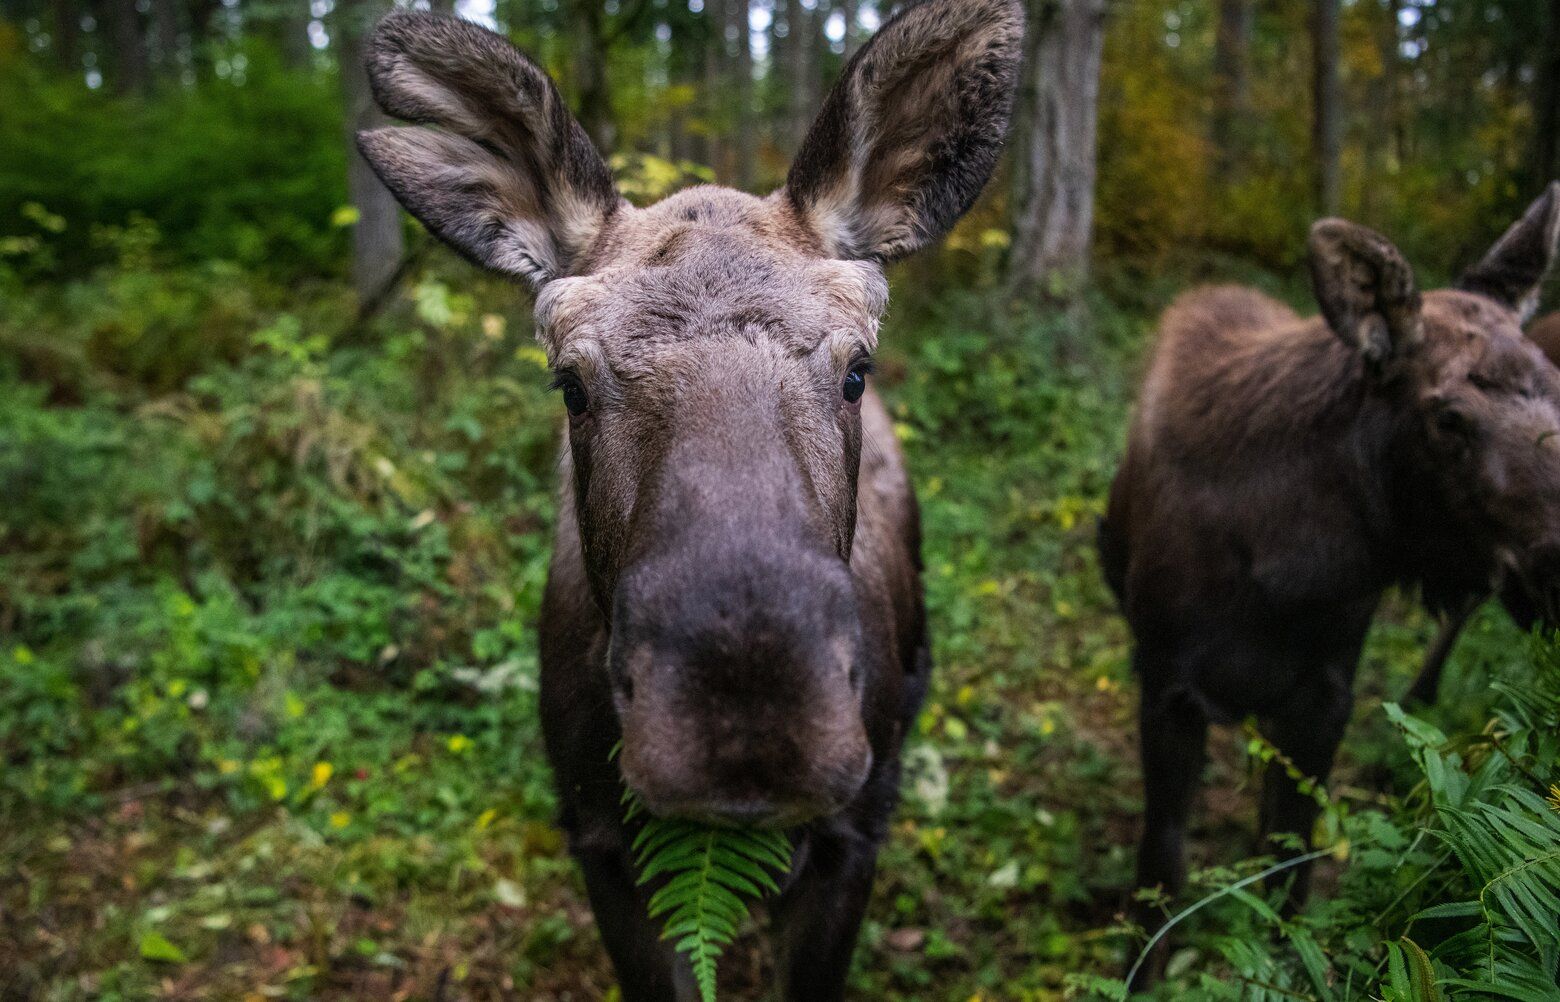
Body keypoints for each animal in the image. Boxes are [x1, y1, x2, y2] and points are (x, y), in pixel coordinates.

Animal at [1098, 181, 1560, 973]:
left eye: (1558, 385)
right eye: (1449, 416)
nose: (1558, 564)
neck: (1285, 572)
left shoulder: (1324, 693)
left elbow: (1291, 869)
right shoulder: (1167, 688)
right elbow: (1162, 869)